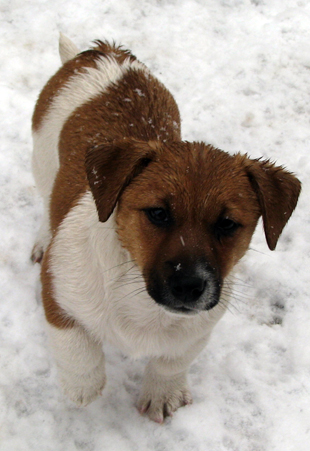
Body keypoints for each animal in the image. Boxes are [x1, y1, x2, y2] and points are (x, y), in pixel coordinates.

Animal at [30, 34, 300, 424]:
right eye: (158, 213)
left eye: (227, 223)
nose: (188, 286)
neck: (140, 298)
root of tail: (106, 52)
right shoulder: (59, 292)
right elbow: (76, 346)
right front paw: (83, 385)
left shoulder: (198, 329)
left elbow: (172, 361)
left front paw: (163, 393)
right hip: (42, 157)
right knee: (45, 196)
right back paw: (42, 237)